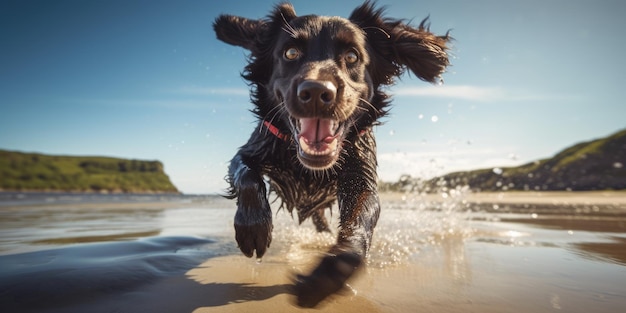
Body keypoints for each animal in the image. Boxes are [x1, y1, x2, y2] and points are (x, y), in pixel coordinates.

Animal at [214, 1, 448, 306]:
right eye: (290, 52)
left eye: (352, 56)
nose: (316, 92)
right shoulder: (252, 150)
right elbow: (247, 176)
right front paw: (254, 228)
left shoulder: (361, 178)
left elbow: (358, 226)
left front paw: (326, 276)